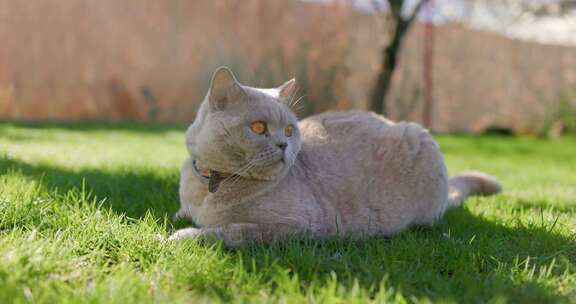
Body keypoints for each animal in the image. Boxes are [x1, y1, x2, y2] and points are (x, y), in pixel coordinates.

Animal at [169, 66, 502, 247]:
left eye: (289, 130)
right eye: (259, 127)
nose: (283, 145)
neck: (210, 187)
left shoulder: (295, 225)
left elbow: (228, 232)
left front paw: (178, 236)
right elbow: (183, 214)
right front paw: (179, 218)